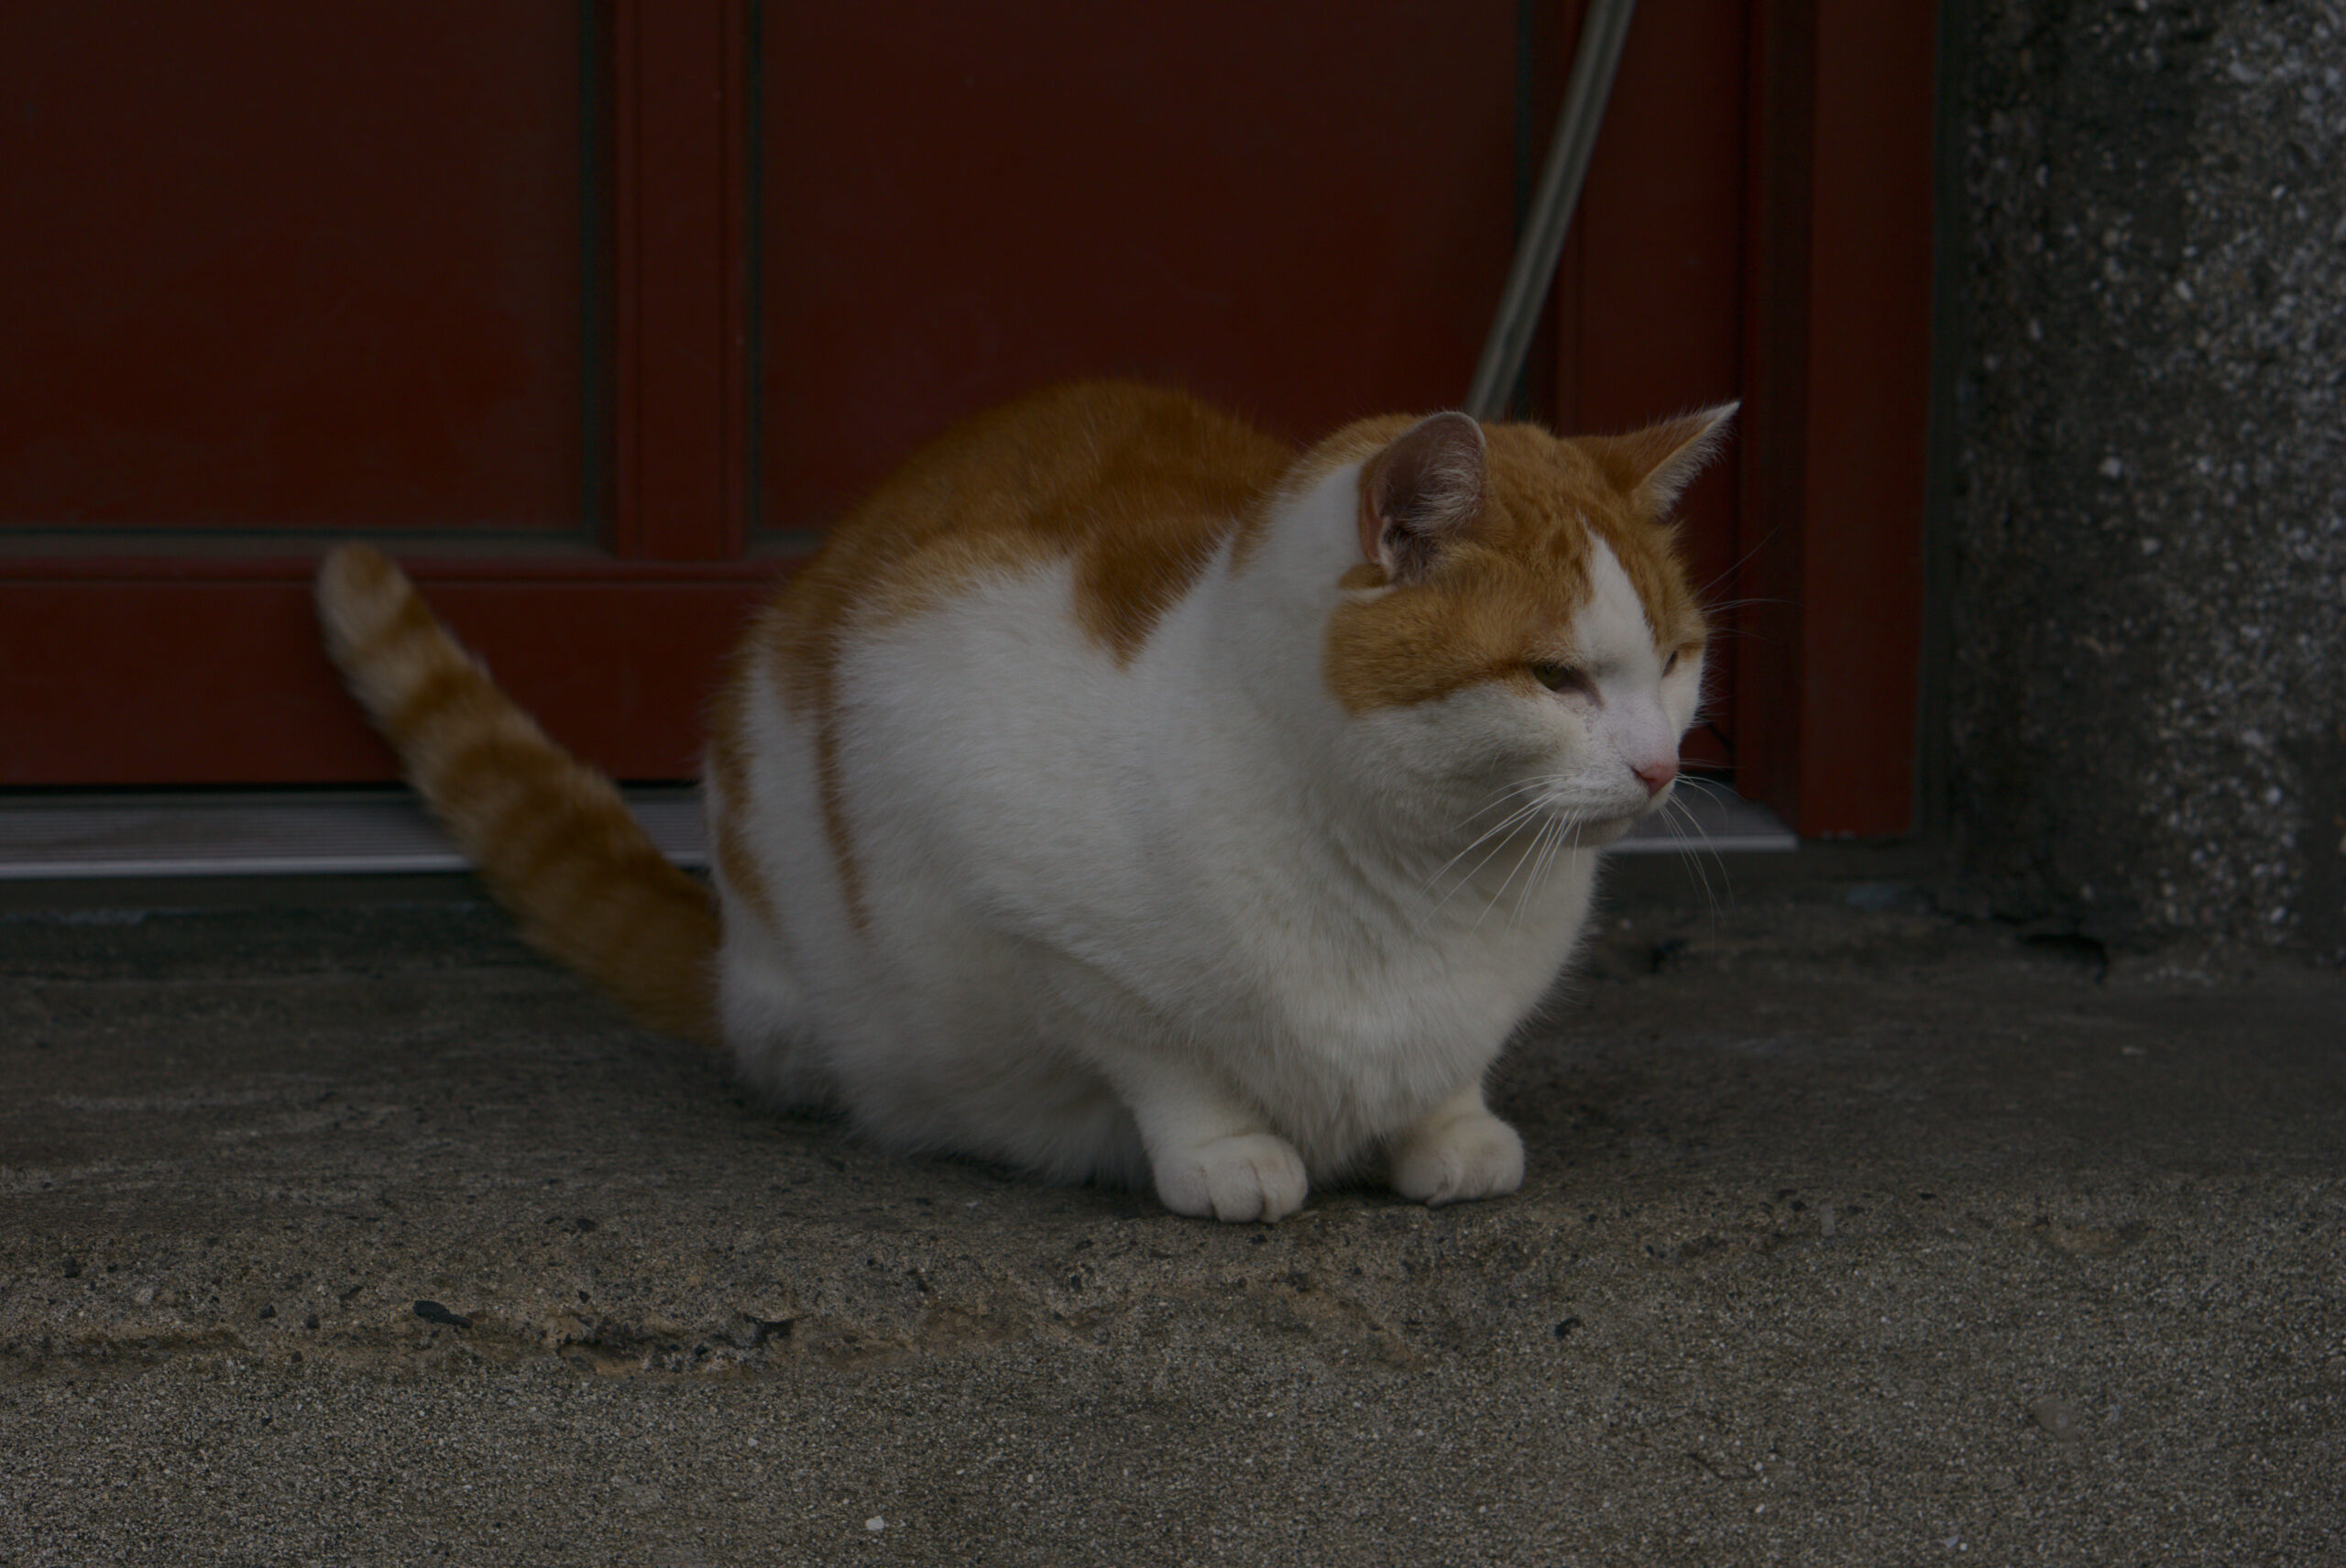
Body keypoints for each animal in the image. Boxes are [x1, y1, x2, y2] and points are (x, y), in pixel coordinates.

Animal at [316, 381, 1728, 1223]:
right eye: (1554, 676)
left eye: (1673, 659)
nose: (1660, 766)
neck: (1419, 872)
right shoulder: (964, 783)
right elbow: (1157, 1043)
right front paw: (1224, 1148)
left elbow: (1450, 1066)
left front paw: (1450, 1123)